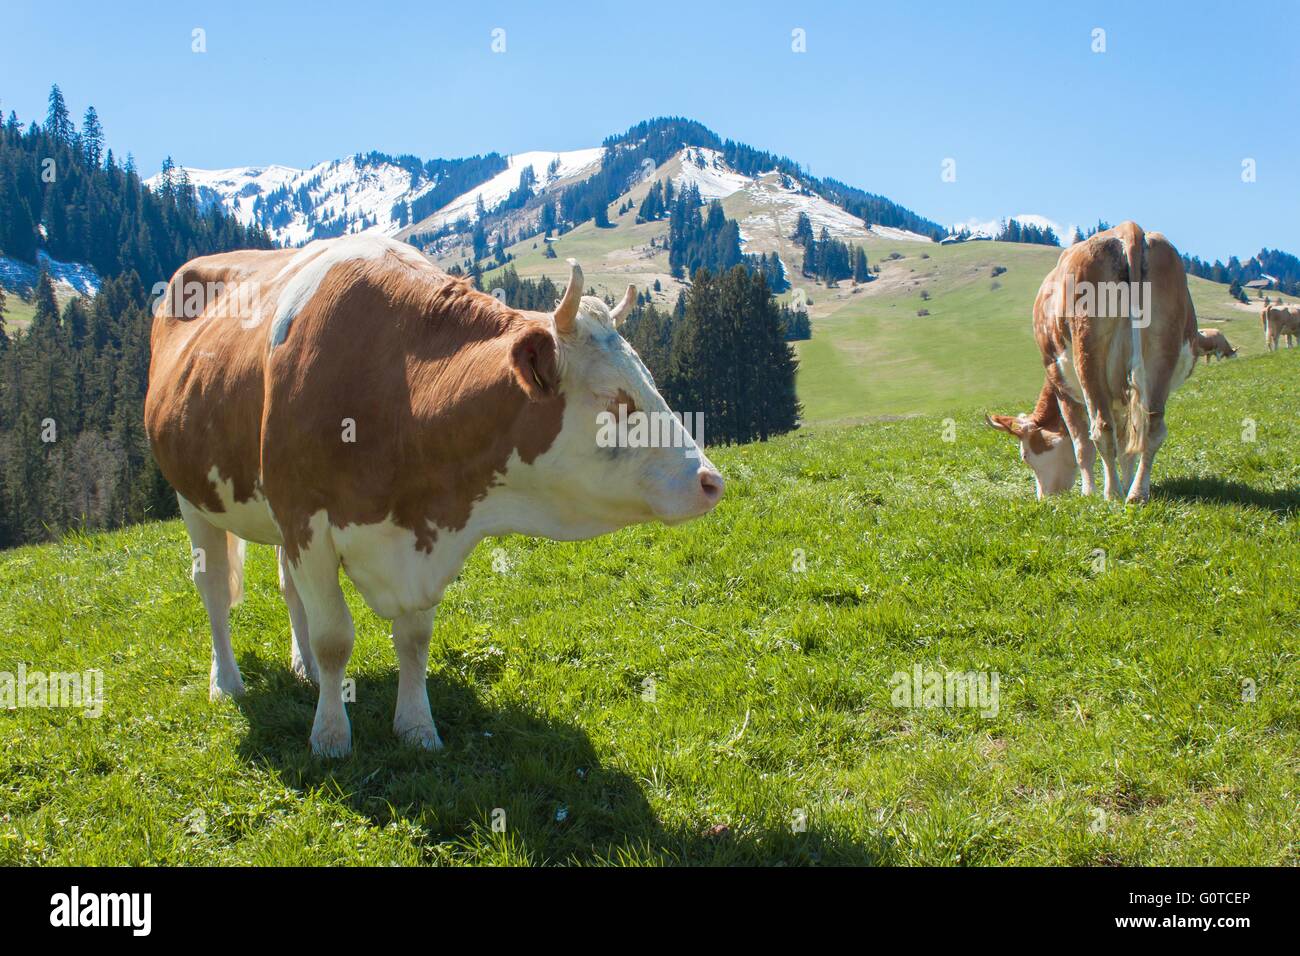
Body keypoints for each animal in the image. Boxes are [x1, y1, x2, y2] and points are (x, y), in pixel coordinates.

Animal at [144, 234, 724, 756]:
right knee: (213, 588)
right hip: (193, 498)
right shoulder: (307, 522)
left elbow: (414, 638)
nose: (710, 481)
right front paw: (330, 736)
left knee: (289, 590)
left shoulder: (414, 533)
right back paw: (227, 682)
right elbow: (335, 638)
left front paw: (417, 727)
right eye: (615, 400)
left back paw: (302, 668)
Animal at [987, 222, 1197, 503]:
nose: (1045, 497)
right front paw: (1126, 481)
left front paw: (1090, 491)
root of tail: (1129, 229)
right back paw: (1136, 492)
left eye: (1025, 456)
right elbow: (1126, 441)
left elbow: (1081, 444)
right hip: (1163, 347)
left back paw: (1112, 494)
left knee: (1101, 429)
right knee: (1151, 427)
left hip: (1087, 351)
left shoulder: (1062, 385)